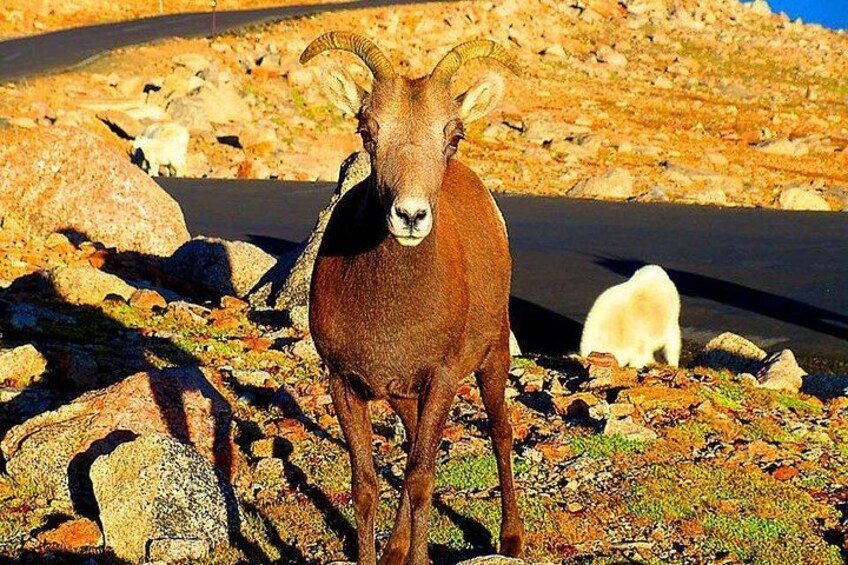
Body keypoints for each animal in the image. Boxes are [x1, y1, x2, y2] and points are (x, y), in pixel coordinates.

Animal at [302, 32, 524, 565]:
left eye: (454, 135)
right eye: (367, 132)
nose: (410, 216)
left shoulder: (441, 379)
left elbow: (422, 478)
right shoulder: (344, 382)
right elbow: (366, 485)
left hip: (493, 356)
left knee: (501, 432)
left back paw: (511, 538)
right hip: (405, 395)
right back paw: (396, 548)